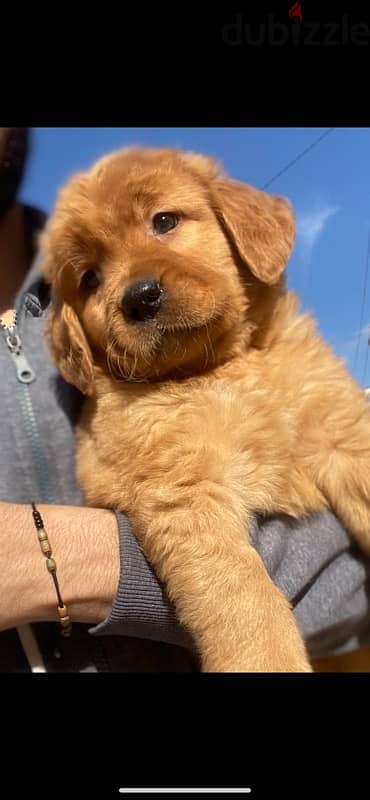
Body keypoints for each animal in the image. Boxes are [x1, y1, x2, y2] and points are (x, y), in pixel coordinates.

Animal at [39, 147, 370, 672]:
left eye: (164, 221)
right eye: (90, 278)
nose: (140, 298)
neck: (220, 369)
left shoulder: (342, 432)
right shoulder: (183, 492)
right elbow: (244, 599)